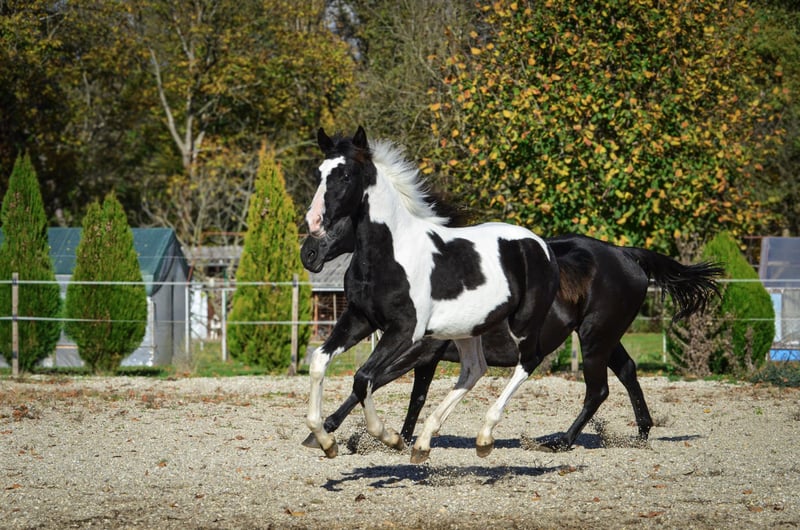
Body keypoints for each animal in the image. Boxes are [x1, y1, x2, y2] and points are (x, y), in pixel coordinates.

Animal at [301, 210, 723, 452]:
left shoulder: (415, 353)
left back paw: (561, 441)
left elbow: (375, 385)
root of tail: (626, 254)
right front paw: (402, 438)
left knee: (598, 389)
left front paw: (333, 431)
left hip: (594, 339)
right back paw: (642, 432)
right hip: (604, 337)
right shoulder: (423, 357)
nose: (309, 253)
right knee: (628, 372)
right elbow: (409, 396)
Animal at [304, 126, 561, 463]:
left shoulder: (405, 330)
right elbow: (320, 362)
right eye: (319, 173)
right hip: (467, 329)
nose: (313, 223)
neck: (390, 253)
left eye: (346, 175)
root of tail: (541, 246)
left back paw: (484, 436)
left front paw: (389, 437)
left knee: (527, 363)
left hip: (524, 323)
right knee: (473, 370)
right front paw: (325, 441)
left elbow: (363, 378)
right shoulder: (360, 319)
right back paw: (424, 443)